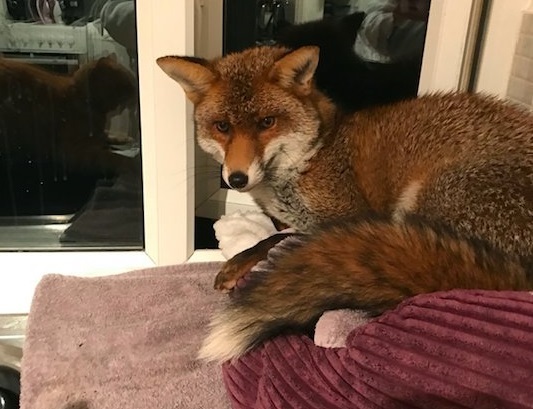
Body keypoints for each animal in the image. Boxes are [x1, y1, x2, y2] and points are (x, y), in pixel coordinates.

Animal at [156, 45, 532, 360]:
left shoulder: (348, 214)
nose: (236, 179)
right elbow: (275, 231)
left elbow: (275, 239)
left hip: (422, 200)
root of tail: (517, 278)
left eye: (267, 123)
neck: (313, 154)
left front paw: (237, 264)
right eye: (222, 127)